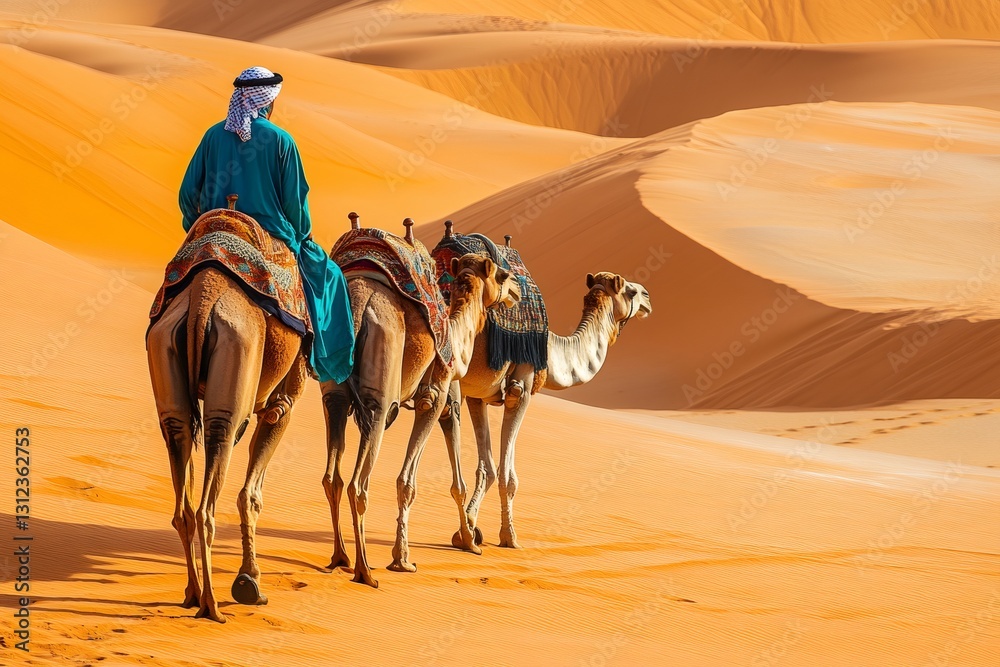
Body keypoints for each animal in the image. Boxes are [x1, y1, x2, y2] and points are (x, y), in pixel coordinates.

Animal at [147, 213, 309, 623]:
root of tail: (205, 290)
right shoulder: (281, 403)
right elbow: (252, 494)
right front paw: (250, 581)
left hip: (167, 361)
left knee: (185, 504)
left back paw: (191, 594)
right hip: (237, 359)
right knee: (207, 503)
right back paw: (212, 606)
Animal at [320, 216, 520, 588]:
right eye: (501, 275)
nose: (516, 290)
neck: (457, 333)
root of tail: (358, 303)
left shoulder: (447, 400)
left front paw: (466, 539)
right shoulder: (437, 394)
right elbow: (413, 482)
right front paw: (407, 558)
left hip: (333, 396)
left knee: (332, 478)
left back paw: (339, 558)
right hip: (379, 397)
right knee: (358, 484)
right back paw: (365, 571)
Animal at [440, 234, 652, 550]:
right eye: (631, 291)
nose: (648, 297)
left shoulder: (479, 394)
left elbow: (487, 467)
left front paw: (470, 527)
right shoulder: (521, 388)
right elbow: (507, 476)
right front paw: (507, 537)